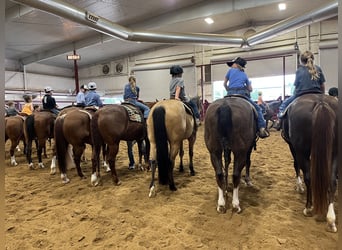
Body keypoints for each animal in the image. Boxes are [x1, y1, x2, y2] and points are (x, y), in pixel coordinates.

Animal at [282, 93, 338, 232]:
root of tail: (321, 102)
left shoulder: (293, 147)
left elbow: (296, 165)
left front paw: (299, 186)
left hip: (302, 151)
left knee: (309, 177)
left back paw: (308, 207)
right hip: (335, 152)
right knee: (332, 181)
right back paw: (331, 219)